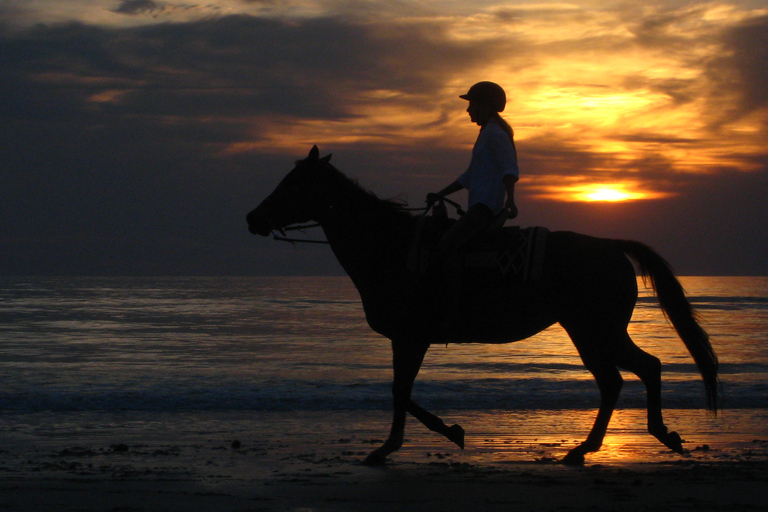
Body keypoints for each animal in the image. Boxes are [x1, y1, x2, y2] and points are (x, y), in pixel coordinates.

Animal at [248, 146, 720, 466]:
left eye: (293, 184)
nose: (253, 218)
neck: (391, 248)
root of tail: (611, 246)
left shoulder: (411, 337)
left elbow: (401, 391)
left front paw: (437, 435)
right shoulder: (406, 340)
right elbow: (400, 391)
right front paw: (399, 444)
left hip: (595, 331)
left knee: (634, 373)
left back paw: (634, 439)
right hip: (594, 332)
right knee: (627, 376)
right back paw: (599, 446)